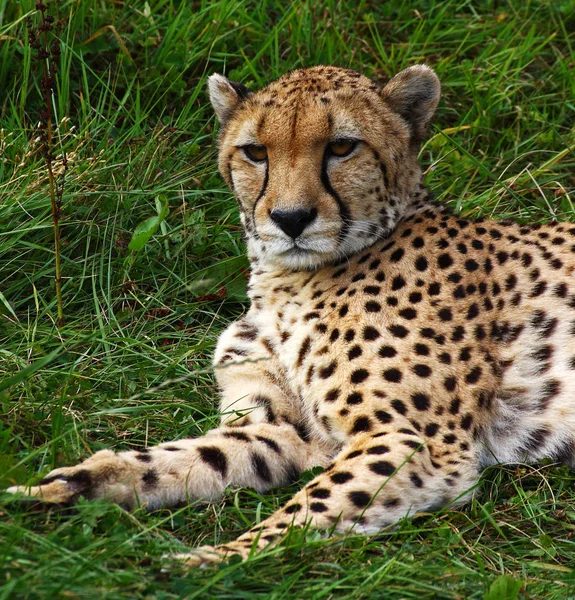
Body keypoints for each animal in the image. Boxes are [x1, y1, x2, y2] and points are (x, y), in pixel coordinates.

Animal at [7, 65, 575, 568]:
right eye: (255, 152)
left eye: (342, 147)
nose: (290, 218)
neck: (287, 281)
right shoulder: (284, 429)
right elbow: (191, 456)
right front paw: (70, 482)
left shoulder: (416, 440)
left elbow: (306, 508)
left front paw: (213, 560)